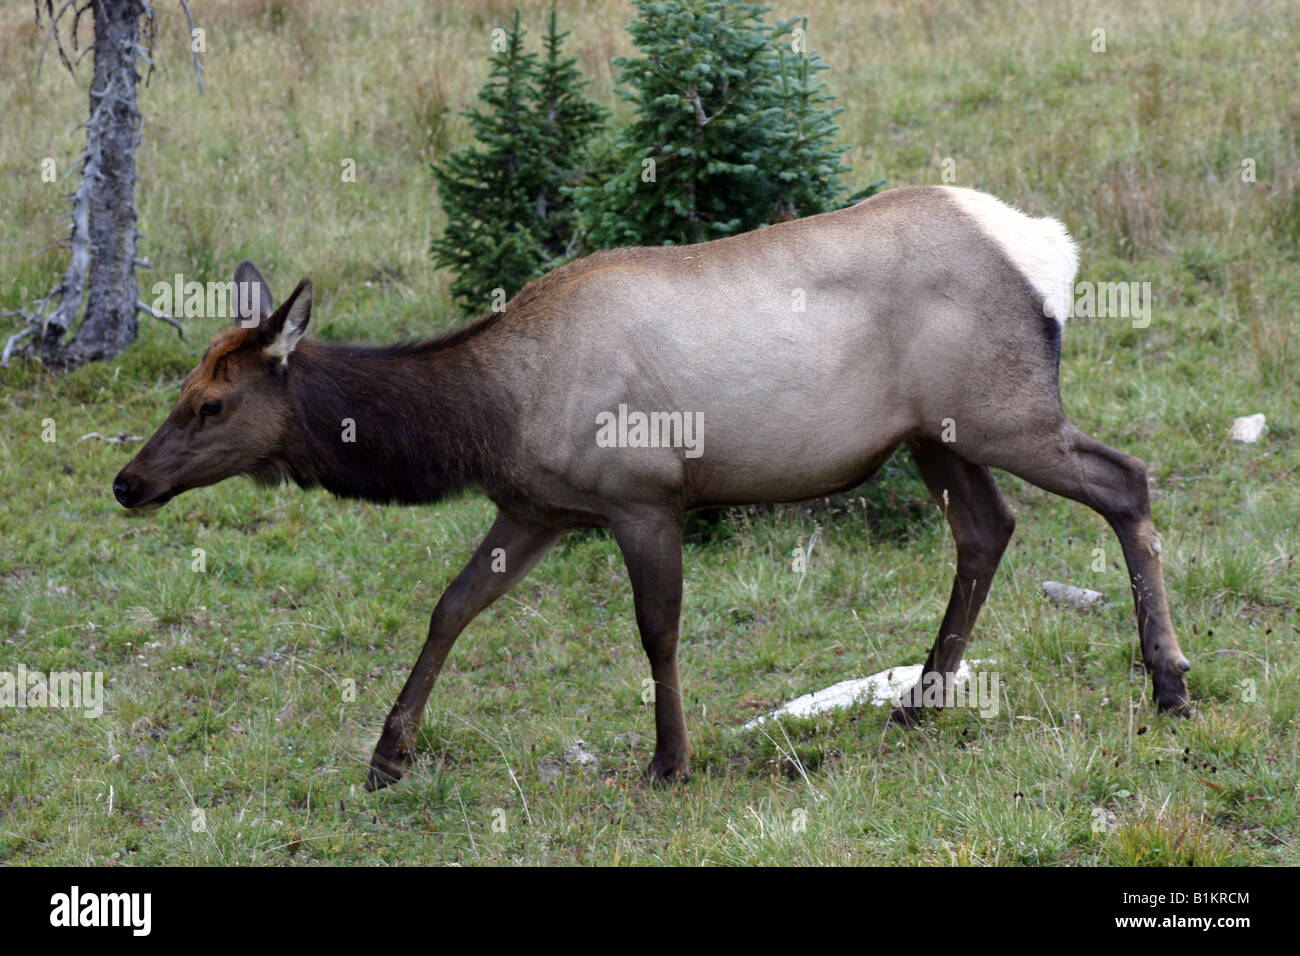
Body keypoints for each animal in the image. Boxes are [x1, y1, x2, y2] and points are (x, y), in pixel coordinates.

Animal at [113, 185, 1192, 791]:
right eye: (180, 389)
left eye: (211, 403)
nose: (127, 482)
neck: (485, 417)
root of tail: (1051, 248)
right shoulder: (535, 504)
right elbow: (451, 606)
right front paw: (386, 755)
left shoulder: (641, 497)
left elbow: (658, 630)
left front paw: (669, 760)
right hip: (936, 434)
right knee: (986, 528)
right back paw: (919, 701)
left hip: (1002, 407)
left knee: (1124, 480)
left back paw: (1169, 681)